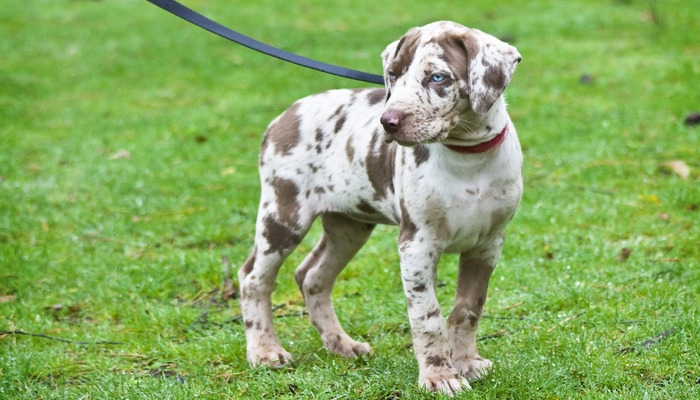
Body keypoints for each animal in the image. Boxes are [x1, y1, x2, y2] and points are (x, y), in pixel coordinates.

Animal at [238, 21, 524, 394]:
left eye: (438, 78)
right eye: (393, 74)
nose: (387, 122)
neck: (468, 159)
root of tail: (285, 116)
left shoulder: (487, 244)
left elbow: (467, 308)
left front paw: (467, 363)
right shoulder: (416, 245)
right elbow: (428, 316)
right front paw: (440, 376)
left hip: (348, 226)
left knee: (313, 276)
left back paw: (342, 345)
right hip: (284, 216)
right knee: (253, 279)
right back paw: (265, 351)